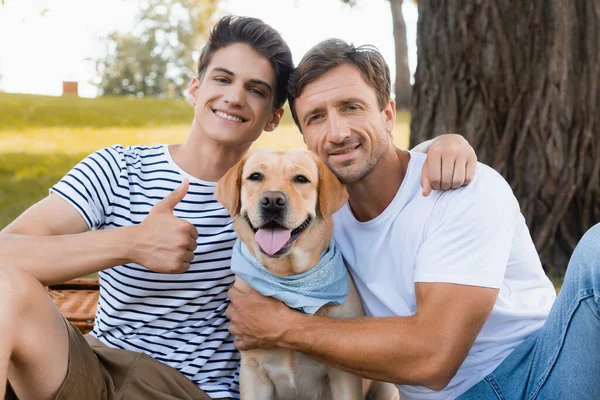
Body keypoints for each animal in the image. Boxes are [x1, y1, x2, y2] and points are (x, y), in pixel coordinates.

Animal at [216, 149, 398, 400]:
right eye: (255, 176)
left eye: (300, 179)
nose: (272, 201)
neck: (286, 278)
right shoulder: (253, 371)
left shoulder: (343, 376)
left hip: (386, 388)